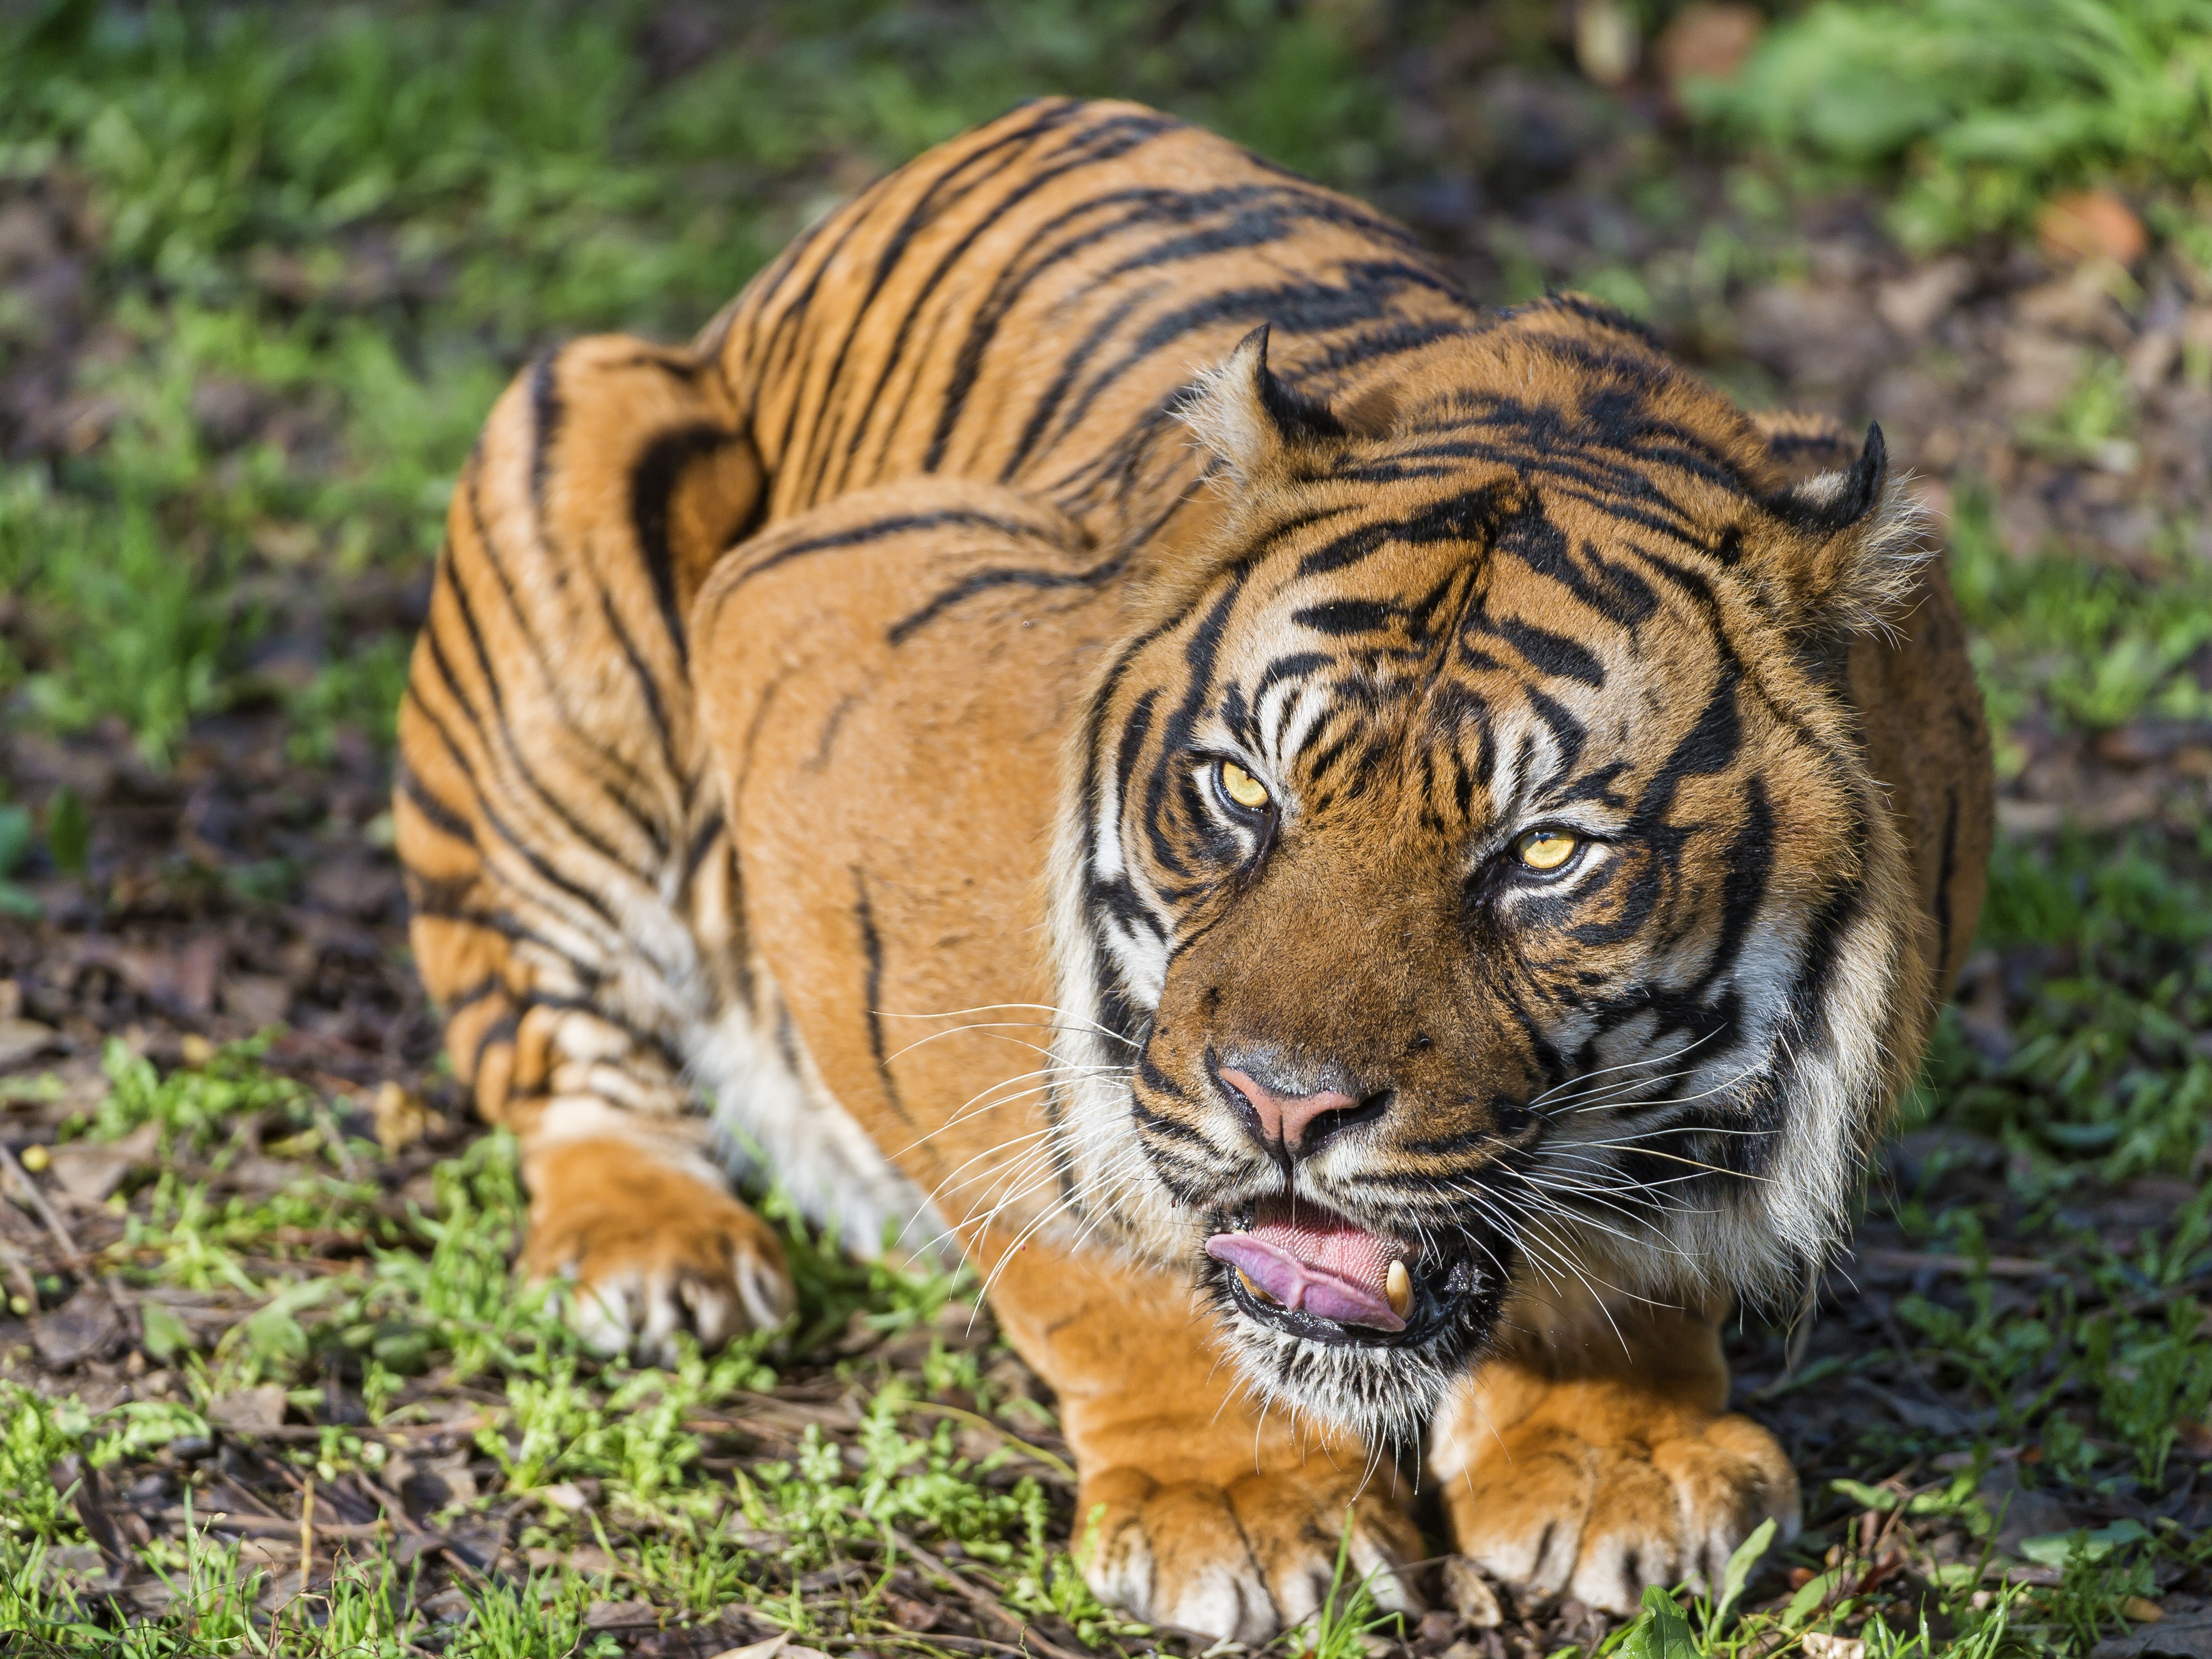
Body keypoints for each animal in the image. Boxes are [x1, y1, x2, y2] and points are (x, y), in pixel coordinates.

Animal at [395, 98, 1993, 1639]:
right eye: (1240, 790)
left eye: (1542, 852)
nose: (1282, 1107)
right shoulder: (827, 654)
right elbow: (1083, 1222)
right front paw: (1240, 1494)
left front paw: (1617, 1452)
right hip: (576, 481)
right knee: (553, 1038)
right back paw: (657, 1253)